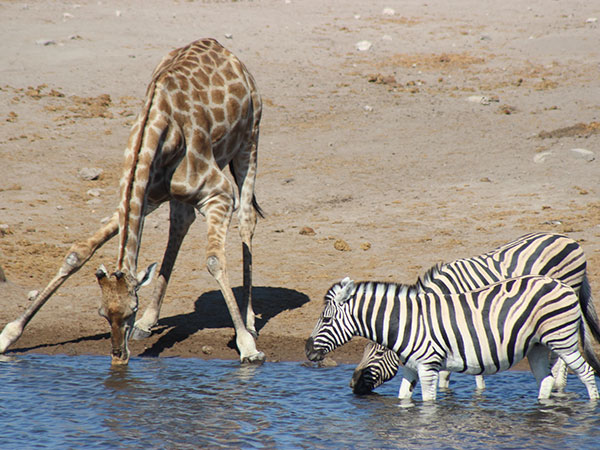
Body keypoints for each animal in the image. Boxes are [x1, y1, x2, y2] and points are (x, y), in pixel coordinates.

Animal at [0, 38, 264, 366]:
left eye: (130, 310)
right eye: (102, 313)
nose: (118, 357)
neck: (161, 129)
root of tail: (225, 51)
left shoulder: (219, 194)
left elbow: (215, 261)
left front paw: (248, 347)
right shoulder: (142, 198)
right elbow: (77, 253)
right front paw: (8, 334)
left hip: (250, 141)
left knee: (247, 219)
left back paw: (249, 321)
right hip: (177, 195)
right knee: (180, 225)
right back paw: (149, 323)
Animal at [308, 272, 600, 402]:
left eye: (326, 320)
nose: (307, 350)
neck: (408, 323)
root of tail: (562, 284)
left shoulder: (427, 366)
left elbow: (428, 404)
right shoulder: (411, 369)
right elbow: (404, 398)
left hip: (562, 341)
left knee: (586, 373)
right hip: (537, 346)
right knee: (546, 380)